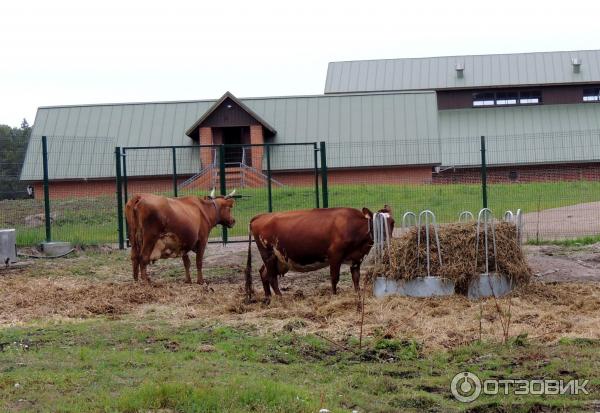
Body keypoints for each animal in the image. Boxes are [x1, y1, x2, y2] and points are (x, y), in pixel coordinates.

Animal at [244, 205, 394, 300]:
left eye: (392, 222)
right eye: (378, 223)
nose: (387, 239)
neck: (352, 225)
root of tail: (260, 216)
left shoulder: (357, 258)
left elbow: (356, 278)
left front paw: (357, 293)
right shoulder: (335, 255)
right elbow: (334, 277)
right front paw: (334, 295)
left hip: (278, 259)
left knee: (264, 273)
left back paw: (268, 297)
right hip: (268, 254)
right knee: (271, 277)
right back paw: (280, 298)